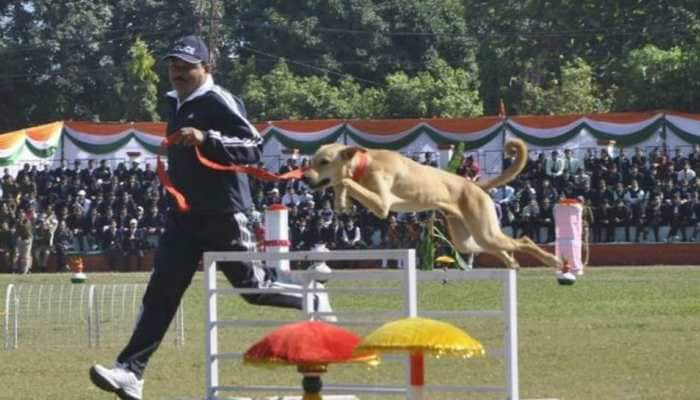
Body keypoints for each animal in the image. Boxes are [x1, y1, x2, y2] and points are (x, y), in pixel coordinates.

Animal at [302, 139, 564, 270]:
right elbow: (342, 185)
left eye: (324, 161)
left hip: (485, 231)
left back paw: (553, 261)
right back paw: (511, 263)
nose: (304, 178)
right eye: (312, 161)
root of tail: (475, 186)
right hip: (468, 239)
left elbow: (345, 180)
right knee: (498, 249)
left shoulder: (382, 204)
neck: (365, 164)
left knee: (524, 240)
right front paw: (341, 201)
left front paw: (342, 189)